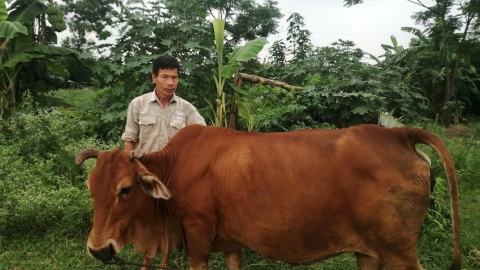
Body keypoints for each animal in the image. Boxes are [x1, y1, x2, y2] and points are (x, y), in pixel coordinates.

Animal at [76, 125, 462, 270]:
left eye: (125, 189)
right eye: (91, 189)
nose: (98, 249)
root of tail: (399, 133)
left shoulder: (198, 240)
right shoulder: (231, 243)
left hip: (400, 253)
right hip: (370, 253)